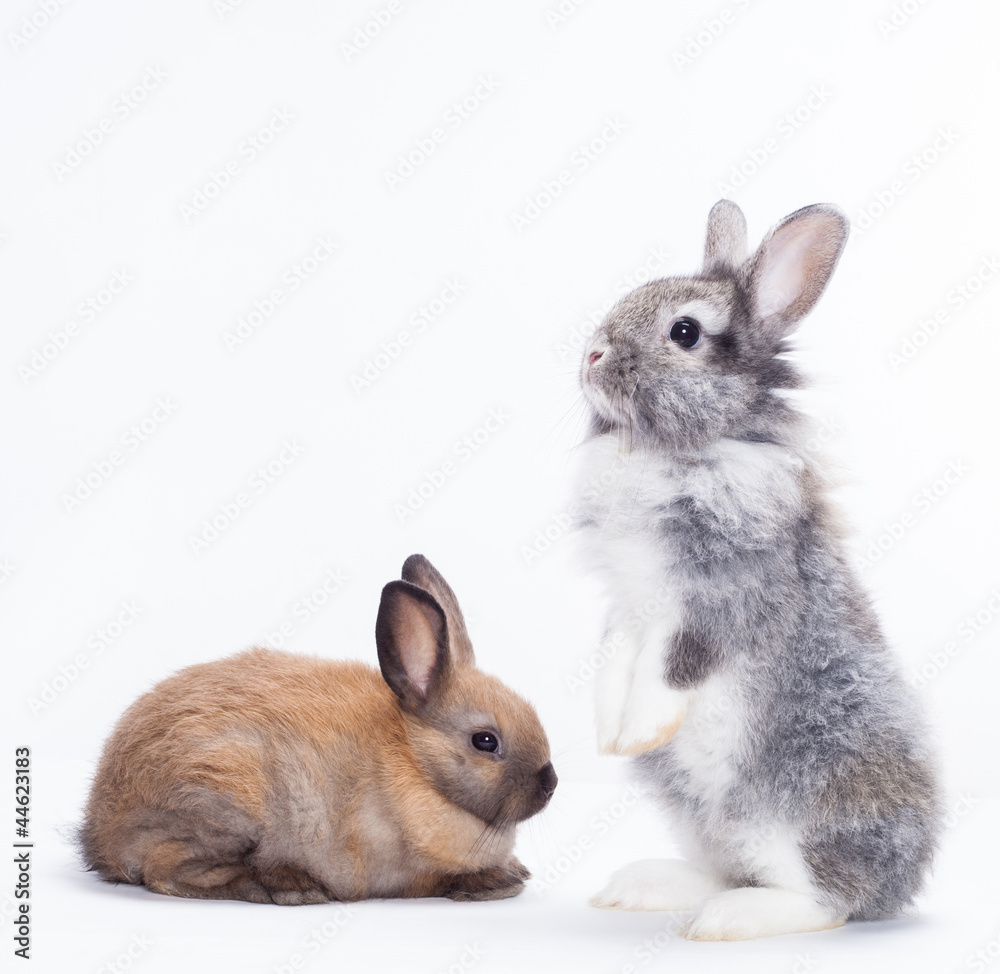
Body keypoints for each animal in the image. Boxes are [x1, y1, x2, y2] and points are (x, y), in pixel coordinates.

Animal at [79, 554, 557, 904]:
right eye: (485, 741)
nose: (550, 783)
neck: (417, 764)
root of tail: (101, 835)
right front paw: (497, 882)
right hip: (226, 806)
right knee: (166, 872)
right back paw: (290, 887)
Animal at [574, 200, 940, 940]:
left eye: (685, 332)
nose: (590, 355)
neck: (674, 452)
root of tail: (901, 885)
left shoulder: (718, 601)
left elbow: (668, 667)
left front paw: (639, 732)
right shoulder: (627, 605)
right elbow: (613, 659)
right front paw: (610, 738)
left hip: (792, 809)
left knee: (826, 901)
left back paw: (730, 919)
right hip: (699, 818)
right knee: (725, 868)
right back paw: (644, 888)